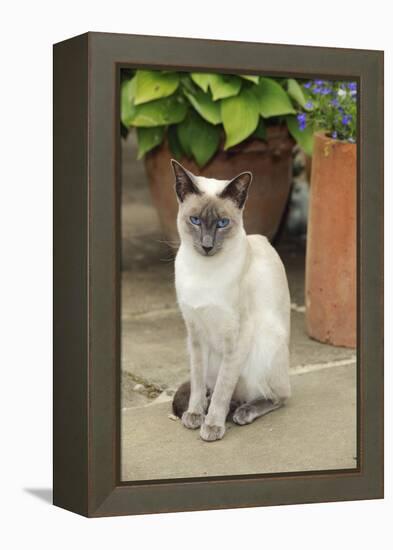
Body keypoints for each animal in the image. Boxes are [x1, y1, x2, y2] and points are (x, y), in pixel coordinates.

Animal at [170, 161, 290, 444]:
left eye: (222, 223)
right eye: (195, 220)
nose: (206, 245)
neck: (204, 272)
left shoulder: (236, 336)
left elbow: (224, 387)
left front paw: (212, 426)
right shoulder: (195, 333)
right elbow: (198, 381)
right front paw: (195, 415)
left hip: (264, 345)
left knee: (277, 395)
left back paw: (242, 412)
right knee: (214, 388)